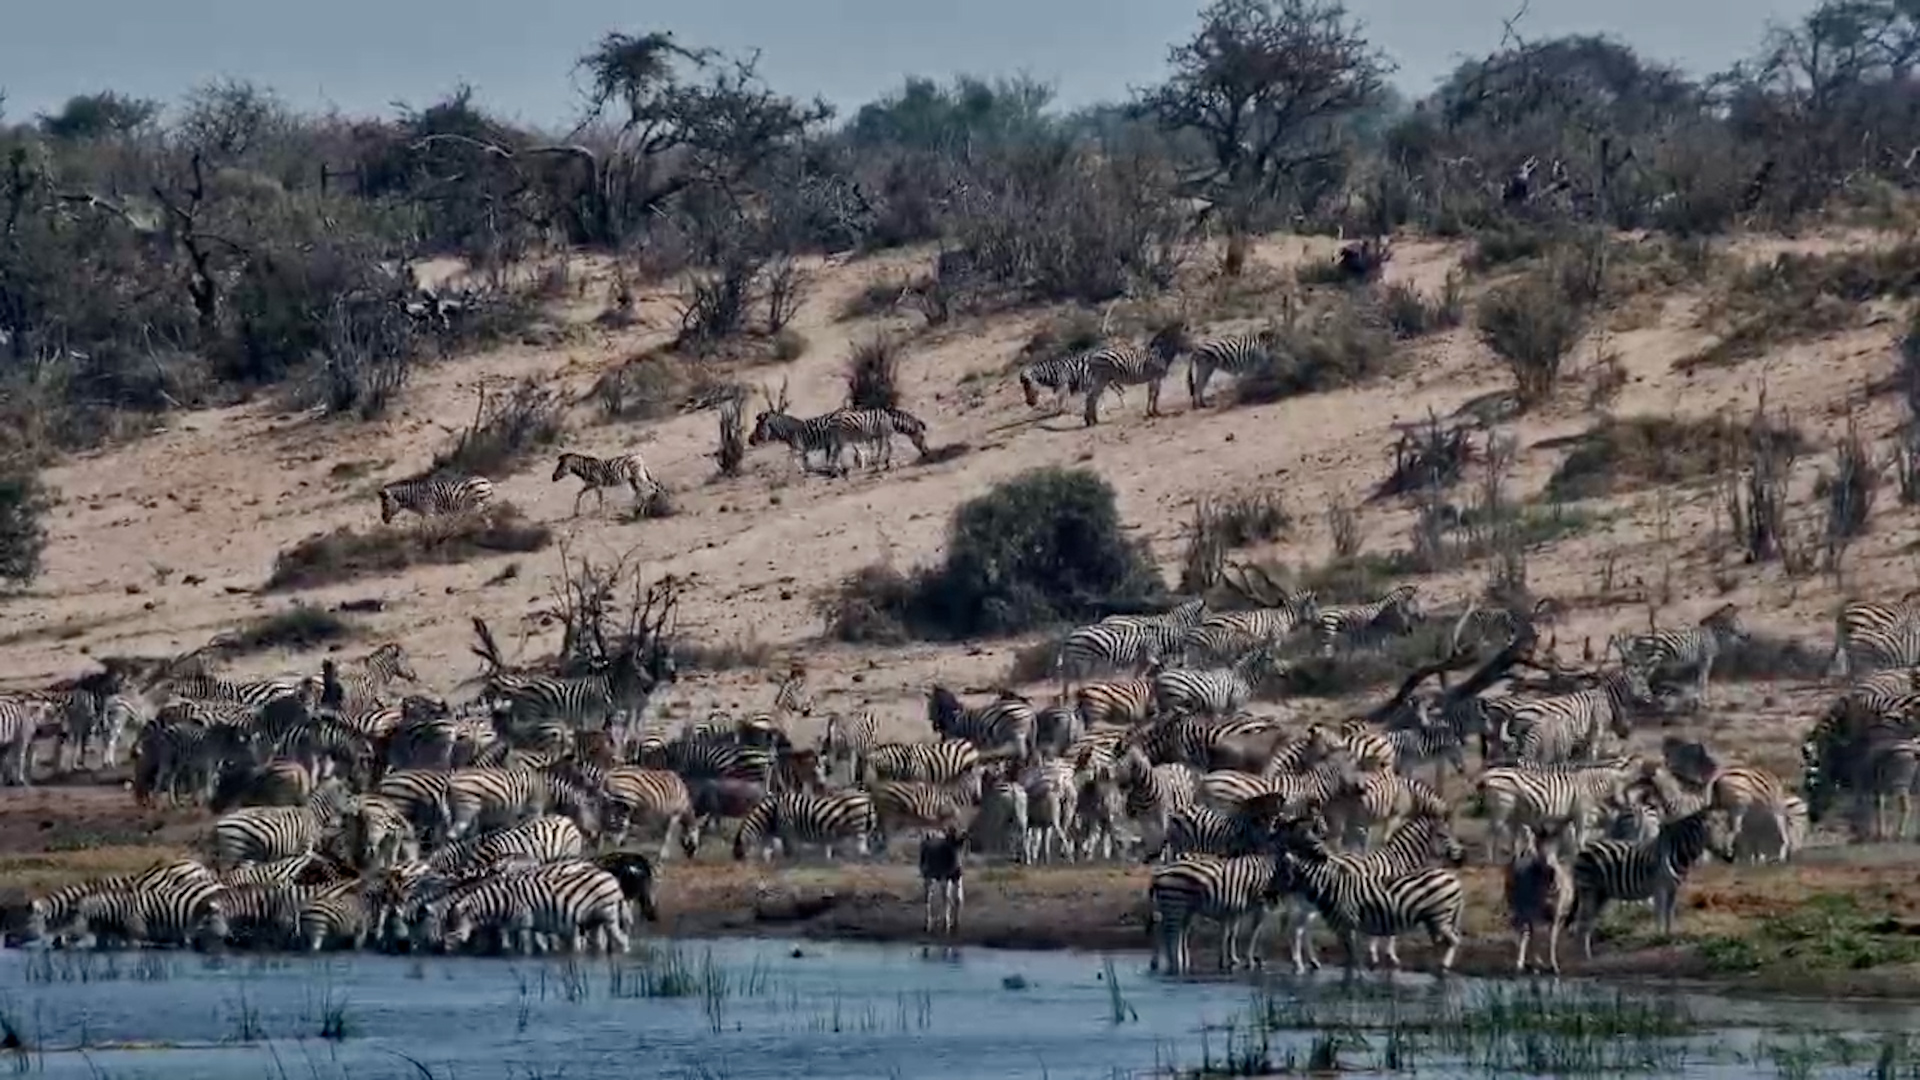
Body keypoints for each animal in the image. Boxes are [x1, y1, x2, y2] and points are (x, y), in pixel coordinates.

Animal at [732, 791, 878, 862]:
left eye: (738, 853)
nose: (737, 863)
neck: (771, 813)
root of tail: (866, 796)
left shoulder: (788, 828)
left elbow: (789, 847)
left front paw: (790, 860)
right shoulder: (775, 832)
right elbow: (768, 849)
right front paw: (769, 860)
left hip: (859, 826)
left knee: (861, 844)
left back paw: (860, 858)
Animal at [1568, 808, 1735, 958]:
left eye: (1728, 832)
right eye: (1720, 832)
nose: (1730, 857)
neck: (1677, 853)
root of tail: (1585, 848)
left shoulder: (1673, 889)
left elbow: (1669, 915)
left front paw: (1669, 937)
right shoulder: (1659, 888)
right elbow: (1660, 916)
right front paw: (1659, 938)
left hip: (1601, 894)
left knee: (1588, 920)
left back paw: (1587, 952)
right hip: (1588, 889)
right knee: (1582, 920)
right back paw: (1584, 955)